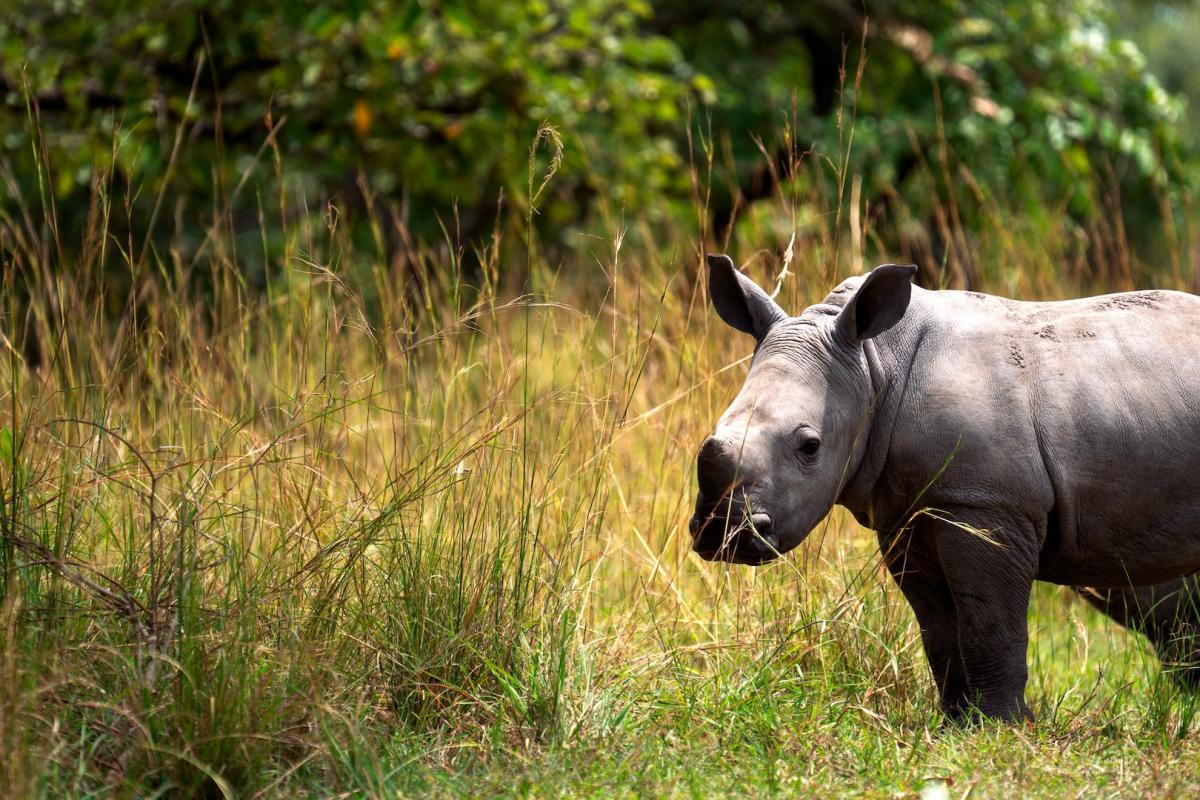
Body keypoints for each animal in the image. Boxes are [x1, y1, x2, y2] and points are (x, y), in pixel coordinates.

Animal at [691, 253, 1200, 724]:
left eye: (810, 446)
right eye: (712, 436)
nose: (723, 532)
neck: (873, 366)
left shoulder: (985, 506)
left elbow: (990, 624)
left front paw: (1002, 726)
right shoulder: (907, 512)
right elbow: (939, 629)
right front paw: (955, 722)